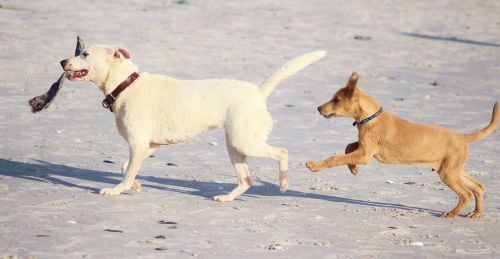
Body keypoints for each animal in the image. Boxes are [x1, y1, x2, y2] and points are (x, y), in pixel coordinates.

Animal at [60, 45, 326, 203]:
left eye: (84, 54)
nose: (62, 61)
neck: (126, 85)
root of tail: (258, 92)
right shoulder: (148, 146)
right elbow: (126, 166)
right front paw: (135, 185)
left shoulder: (138, 144)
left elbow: (125, 172)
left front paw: (117, 190)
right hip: (235, 147)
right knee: (246, 180)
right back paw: (227, 198)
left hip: (244, 142)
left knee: (282, 152)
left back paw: (283, 183)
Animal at [306, 71, 498, 219]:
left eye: (336, 100)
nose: (318, 108)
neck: (370, 117)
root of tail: (462, 137)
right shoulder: (363, 148)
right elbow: (347, 147)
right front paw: (353, 168)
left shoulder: (365, 154)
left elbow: (335, 158)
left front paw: (315, 166)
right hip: (454, 169)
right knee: (478, 187)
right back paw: (477, 213)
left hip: (448, 173)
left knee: (466, 194)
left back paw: (452, 213)